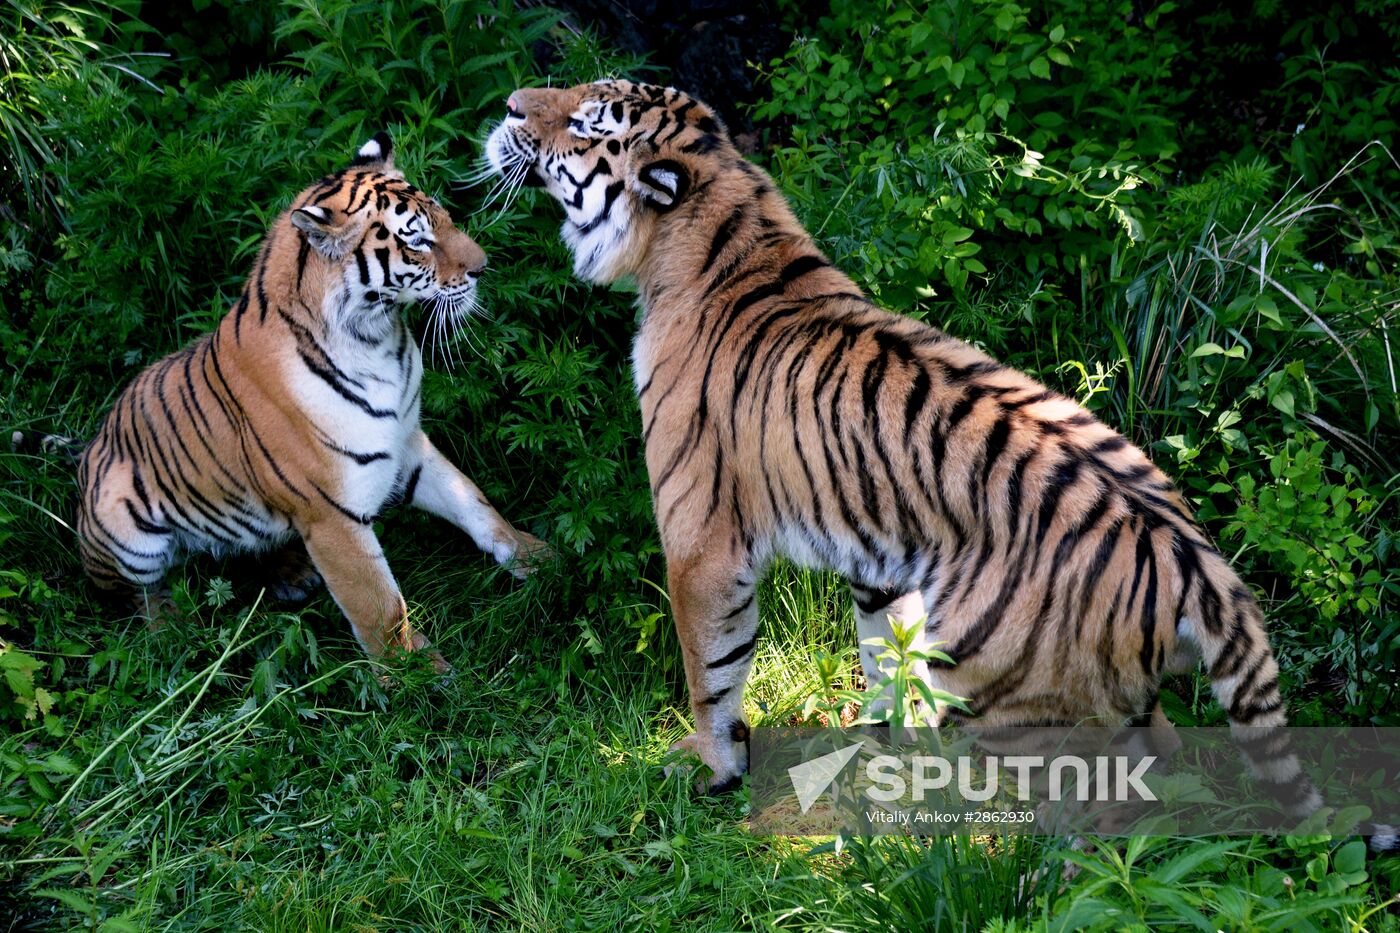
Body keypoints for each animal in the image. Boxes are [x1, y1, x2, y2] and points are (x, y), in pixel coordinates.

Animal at [66, 132, 546, 669]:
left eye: (444, 219)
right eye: (418, 240)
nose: (484, 266)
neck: (378, 339)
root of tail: (89, 449)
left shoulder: (408, 445)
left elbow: (477, 505)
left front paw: (538, 558)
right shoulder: (330, 514)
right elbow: (379, 607)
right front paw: (419, 676)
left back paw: (292, 574)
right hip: (125, 530)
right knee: (135, 594)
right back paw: (170, 631)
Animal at [490, 81, 1400, 851]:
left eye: (587, 120)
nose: (509, 105)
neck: (725, 221)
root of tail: (1192, 554)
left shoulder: (702, 540)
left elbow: (709, 668)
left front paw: (714, 766)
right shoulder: (877, 556)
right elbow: (879, 653)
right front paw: (881, 750)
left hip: (1005, 691)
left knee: (1111, 811)